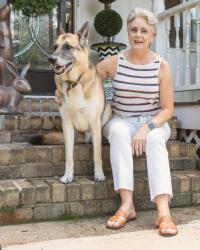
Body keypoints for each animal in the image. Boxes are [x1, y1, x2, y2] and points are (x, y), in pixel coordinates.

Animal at [43, 22, 111, 184]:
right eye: (55, 46)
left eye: (68, 47)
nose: (51, 59)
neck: (74, 82)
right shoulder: (67, 125)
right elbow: (69, 156)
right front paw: (68, 175)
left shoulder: (94, 122)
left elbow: (97, 155)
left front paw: (99, 174)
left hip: (106, 112)